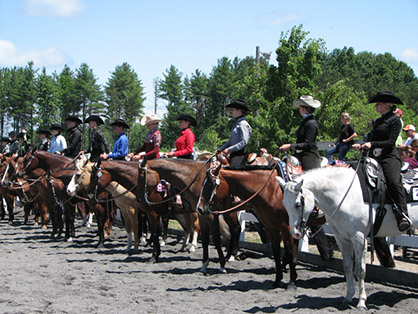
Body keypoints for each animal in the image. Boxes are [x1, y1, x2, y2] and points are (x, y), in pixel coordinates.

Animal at [280, 167, 416, 310]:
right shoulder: (342, 238)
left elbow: (360, 270)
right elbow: (347, 267)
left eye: (297, 204)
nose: (294, 233)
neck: (345, 195)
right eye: (284, 203)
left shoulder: (359, 238)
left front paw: (361, 302)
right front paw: (348, 297)